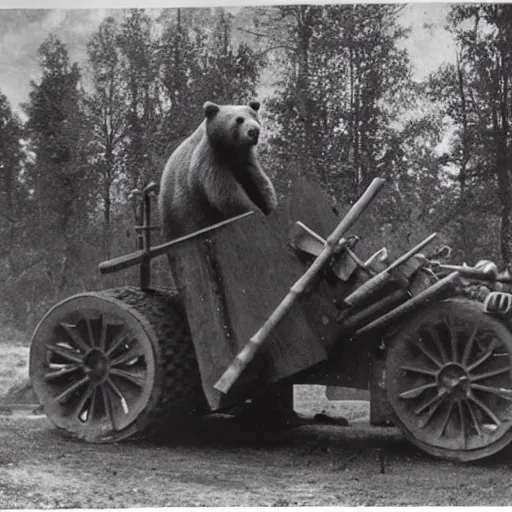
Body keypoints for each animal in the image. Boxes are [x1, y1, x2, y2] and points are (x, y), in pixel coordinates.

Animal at [160, 101, 280, 242]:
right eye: (239, 120)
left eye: (254, 116)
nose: (254, 131)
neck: (230, 151)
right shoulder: (209, 160)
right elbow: (226, 192)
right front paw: (254, 209)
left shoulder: (245, 161)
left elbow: (258, 182)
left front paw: (267, 205)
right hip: (179, 213)